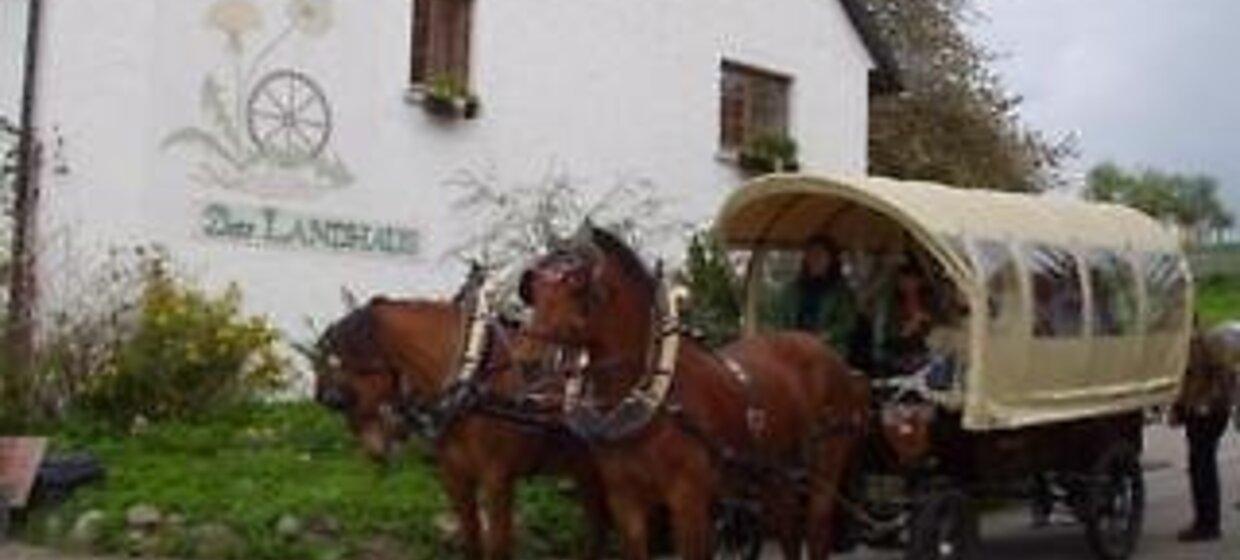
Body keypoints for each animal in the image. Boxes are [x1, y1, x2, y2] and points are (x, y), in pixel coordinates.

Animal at [314, 288, 610, 560]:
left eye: (342, 360)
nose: (325, 398)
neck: (472, 379)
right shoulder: (454, 475)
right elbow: (471, 539)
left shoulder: (497, 481)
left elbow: (498, 547)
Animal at [518, 227, 868, 560]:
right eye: (533, 289)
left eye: (575, 282)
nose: (526, 361)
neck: (656, 398)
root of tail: (822, 348)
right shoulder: (626, 503)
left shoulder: (689, 502)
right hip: (775, 474)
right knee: (789, 531)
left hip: (825, 463)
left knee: (817, 528)